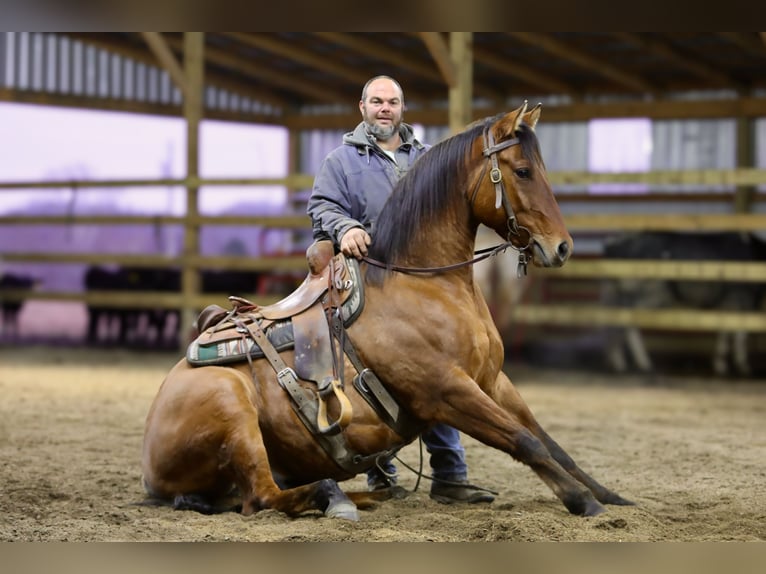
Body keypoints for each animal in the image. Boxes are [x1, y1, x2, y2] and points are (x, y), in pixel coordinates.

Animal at [141, 102, 633, 521]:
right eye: (524, 171)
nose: (563, 247)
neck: (422, 284)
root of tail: (149, 471)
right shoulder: (448, 391)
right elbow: (525, 440)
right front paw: (583, 501)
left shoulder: (493, 380)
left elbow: (551, 442)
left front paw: (609, 494)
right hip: (232, 407)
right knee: (261, 496)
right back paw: (334, 497)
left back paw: (368, 495)